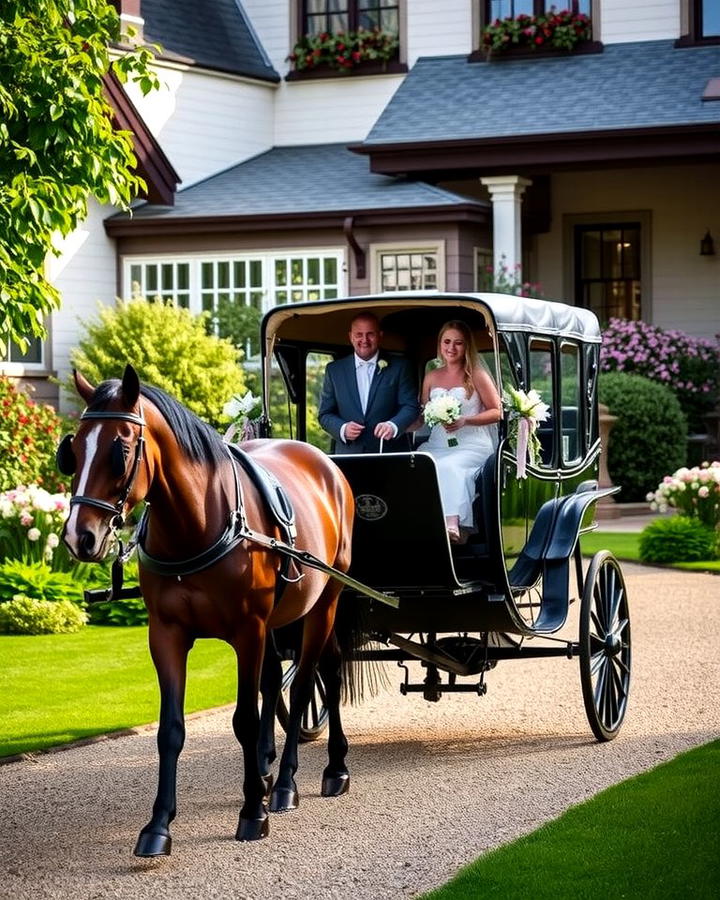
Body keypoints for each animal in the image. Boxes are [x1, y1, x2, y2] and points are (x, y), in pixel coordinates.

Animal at [59, 366, 354, 856]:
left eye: (121, 450)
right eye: (74, 449)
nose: (79, 537)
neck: (195, 523)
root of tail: (326, 465)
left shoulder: (248, 631)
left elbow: (245, 719)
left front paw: (253, 812)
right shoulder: (167, 634)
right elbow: (171, 729)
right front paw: (158, 825)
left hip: (325, 600)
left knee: (308, 683)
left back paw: (296, 781)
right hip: (289, 615)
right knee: (306, 674)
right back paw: (293, 769)